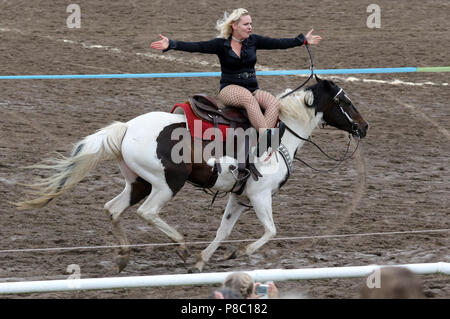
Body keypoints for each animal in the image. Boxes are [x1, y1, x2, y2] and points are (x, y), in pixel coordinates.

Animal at [16, 77, 370, 272]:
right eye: (345, 100)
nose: (364, 127)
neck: (280, 134)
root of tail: (127, 127)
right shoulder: (259, 195)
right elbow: (271, 231)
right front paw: (237, 252)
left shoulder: (240, 198)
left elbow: (222, 231)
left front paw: (204, 260)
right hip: (165, 185)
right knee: (147, 213)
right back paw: (181, 246)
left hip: (137, 184)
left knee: (112, 209)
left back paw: (124, 258)